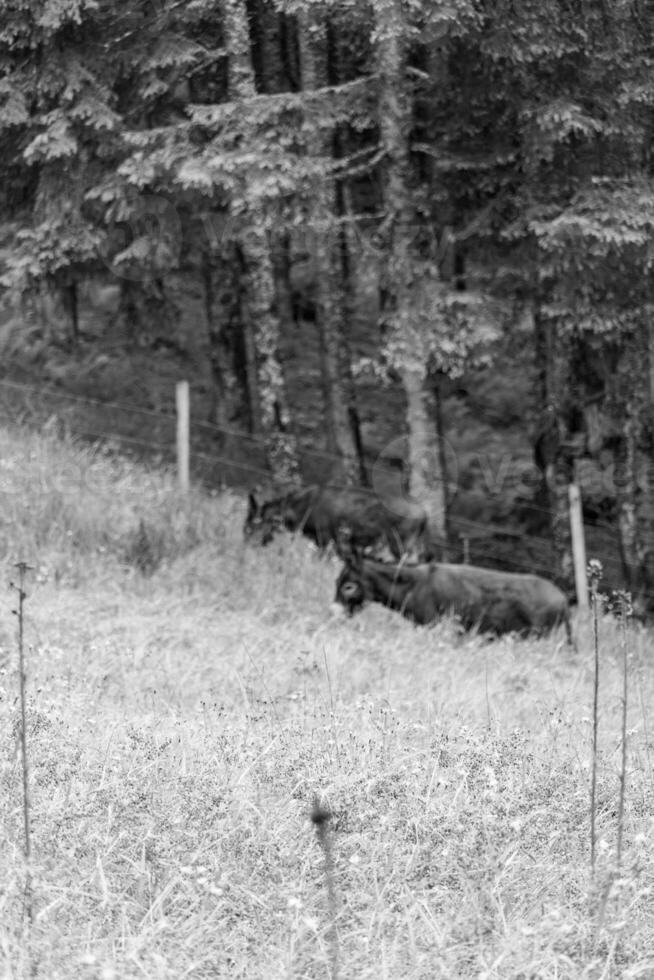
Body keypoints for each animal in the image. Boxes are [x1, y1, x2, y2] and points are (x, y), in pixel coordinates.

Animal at [336, 552, 572, 644]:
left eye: (349, 587)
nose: (334, 614)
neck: (414, 585)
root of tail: (563, 598)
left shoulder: (430, 624)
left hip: (537, 636)